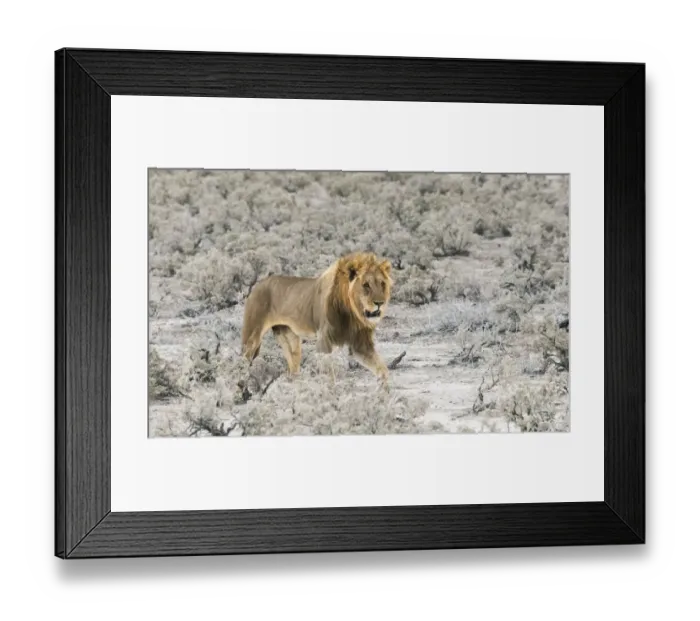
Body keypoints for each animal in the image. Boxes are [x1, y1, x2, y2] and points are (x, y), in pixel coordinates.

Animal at [241, 252, 393, 383]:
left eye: (382, 284)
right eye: (366, 285)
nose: (380, 303)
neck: (352, 312)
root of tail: (257, 285)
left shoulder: (361, 343)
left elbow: (382, 370)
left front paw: (384, 392)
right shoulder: (324, 339)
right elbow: (328, 371)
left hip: (289, 337)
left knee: (293, 366)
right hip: (252, 336)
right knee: (243, 360)